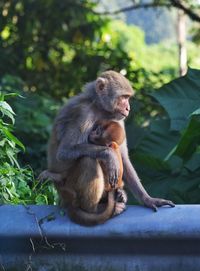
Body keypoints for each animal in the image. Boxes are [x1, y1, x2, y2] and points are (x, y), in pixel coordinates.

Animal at [44, 70, 174, 225]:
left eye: (127, 98)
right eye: (123, 97)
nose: (128, 108)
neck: (99, 107)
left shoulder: (119, 119)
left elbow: (123, 157)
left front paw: (148, 199)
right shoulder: (84, 113)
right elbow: (64, 152)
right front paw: (109, 155)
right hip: (67, 189)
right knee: (88, 160)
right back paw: (94, 209)